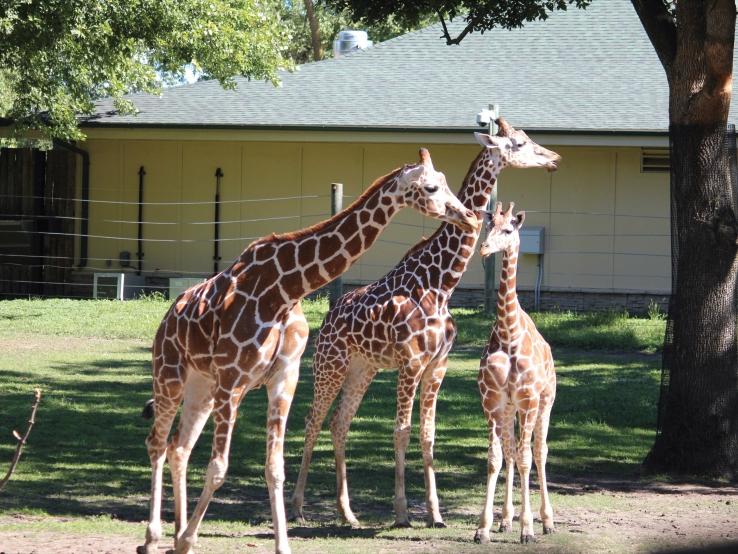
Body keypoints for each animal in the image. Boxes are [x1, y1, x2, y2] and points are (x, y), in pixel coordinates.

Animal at [136, 147, 478, 552]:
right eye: (431, 187)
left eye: (445, 181)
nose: (468, 215)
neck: (284, 290)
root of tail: (167, 318)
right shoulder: (234, 378)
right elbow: (219, 468)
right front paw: (186, 538)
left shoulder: (283, 378)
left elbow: (274, 469)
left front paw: (279, 544)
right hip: (170, 375)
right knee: (157, 442)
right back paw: (154, 537)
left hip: (201, 387)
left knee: (179, 447)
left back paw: (178, 533)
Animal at [290, 117, 560, 528]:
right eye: (518, 143)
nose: (554, 158)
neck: (441, 284)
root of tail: (329, 318)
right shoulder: (411, 363)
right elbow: (401, 431)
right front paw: (402, 511)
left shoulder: (437, 365)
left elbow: (428, 434)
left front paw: (435, 513)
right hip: (330, 364)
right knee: (312, 420)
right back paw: (298, 505)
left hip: (362, 369)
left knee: (339, 423)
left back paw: (348, 513)